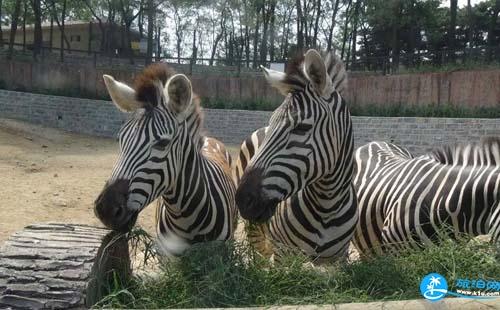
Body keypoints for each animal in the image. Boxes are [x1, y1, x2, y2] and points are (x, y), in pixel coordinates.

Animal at [235, 49, 360, 262]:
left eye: (302, 128)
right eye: (272, 122)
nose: (243, 199)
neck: (327, 206)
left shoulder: (339, 259)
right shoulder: (283, 254)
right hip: (254, 232)